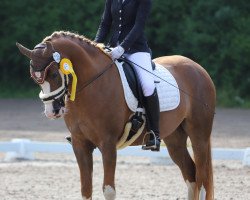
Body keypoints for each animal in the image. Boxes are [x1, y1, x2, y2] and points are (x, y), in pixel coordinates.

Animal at [16, 30, 216, 199]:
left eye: (55, 75)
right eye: (34, 78)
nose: (52, 111)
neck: (91, 85)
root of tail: (198, 68)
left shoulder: (108, 144)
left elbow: (109, 190)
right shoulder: (80, 144)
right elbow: (85, 190)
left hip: (199, 136)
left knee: (201, 180)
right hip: (175, 139)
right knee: (191, 176)